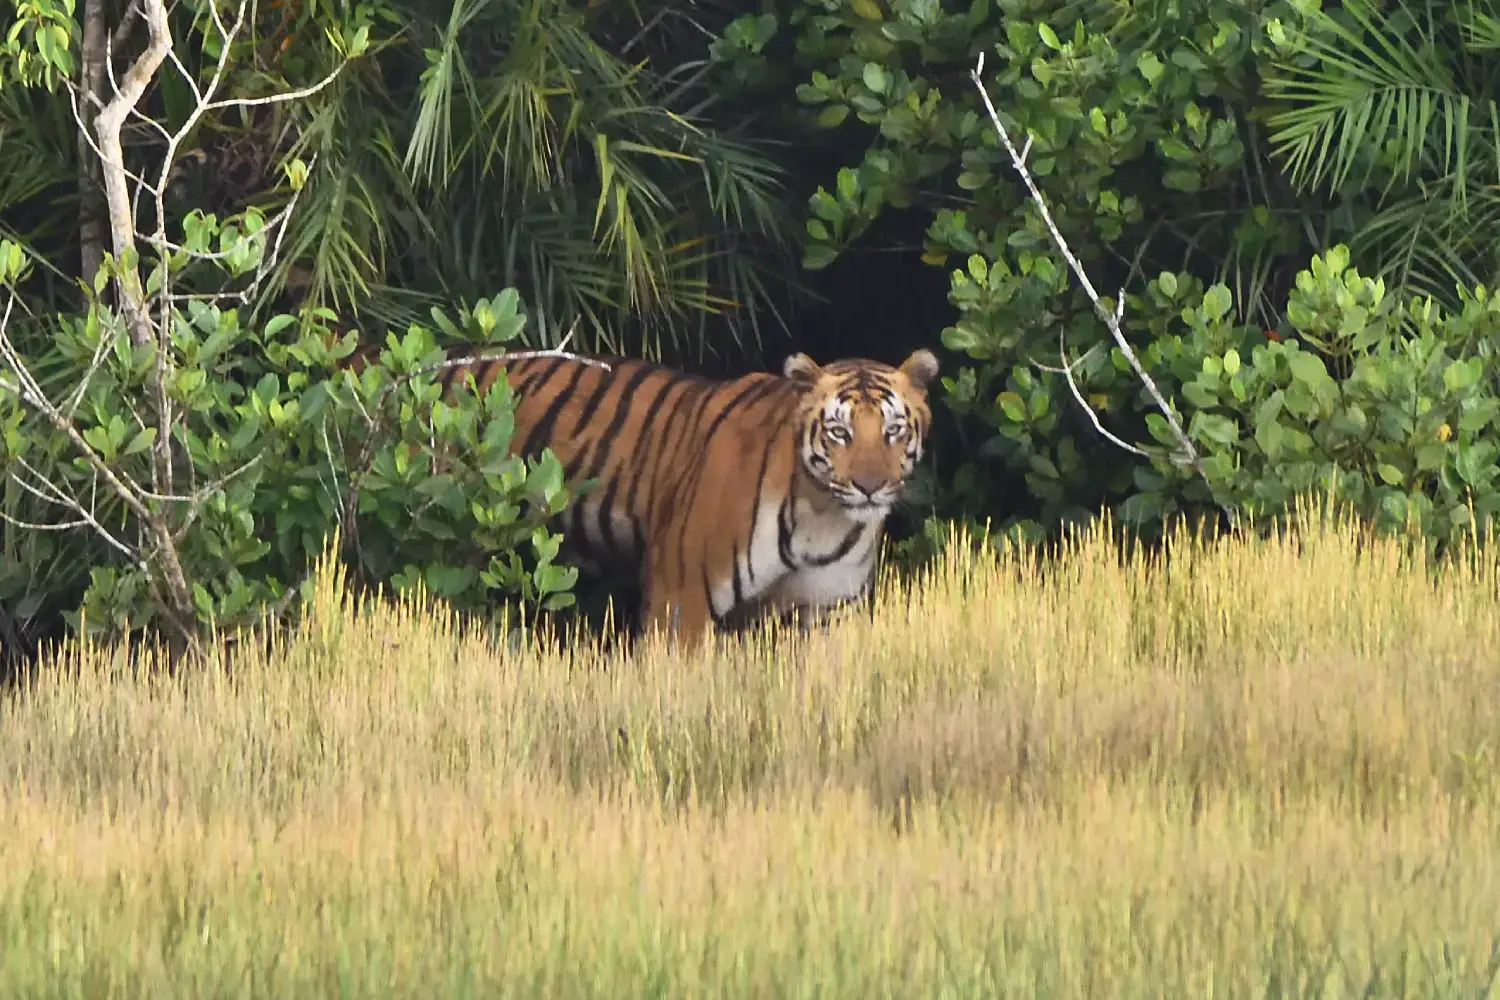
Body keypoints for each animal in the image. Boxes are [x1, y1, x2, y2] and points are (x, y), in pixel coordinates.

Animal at [352, 340, 936, 644]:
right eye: (839, 432)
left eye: (893, 431)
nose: (869, 486)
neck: (823, 517)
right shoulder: (681, 599)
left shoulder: (826, 613)